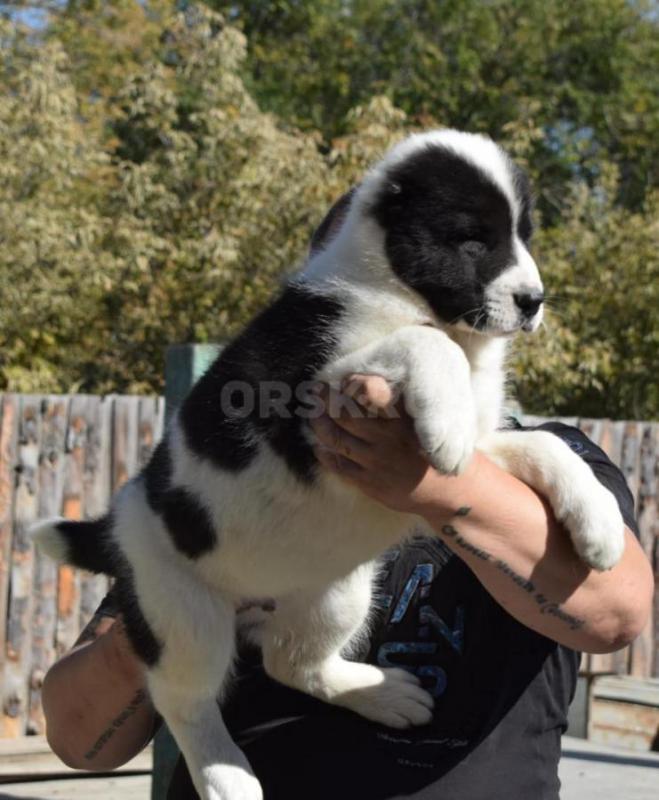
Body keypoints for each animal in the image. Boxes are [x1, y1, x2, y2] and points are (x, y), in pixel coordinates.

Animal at [33, 131, 628, 800]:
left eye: (522, 236)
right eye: (473, 240)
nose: (533, 302)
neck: (400, 292)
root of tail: (116, 526)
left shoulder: (488, 446)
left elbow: (548, 447)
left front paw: (600, 525)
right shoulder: (311, 388)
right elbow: (426, 342)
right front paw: (443, 425)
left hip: (335, 590)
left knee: (291, 663)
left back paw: (385, 695)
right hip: (183, 612)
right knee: (183, 698)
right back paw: (226, 776)